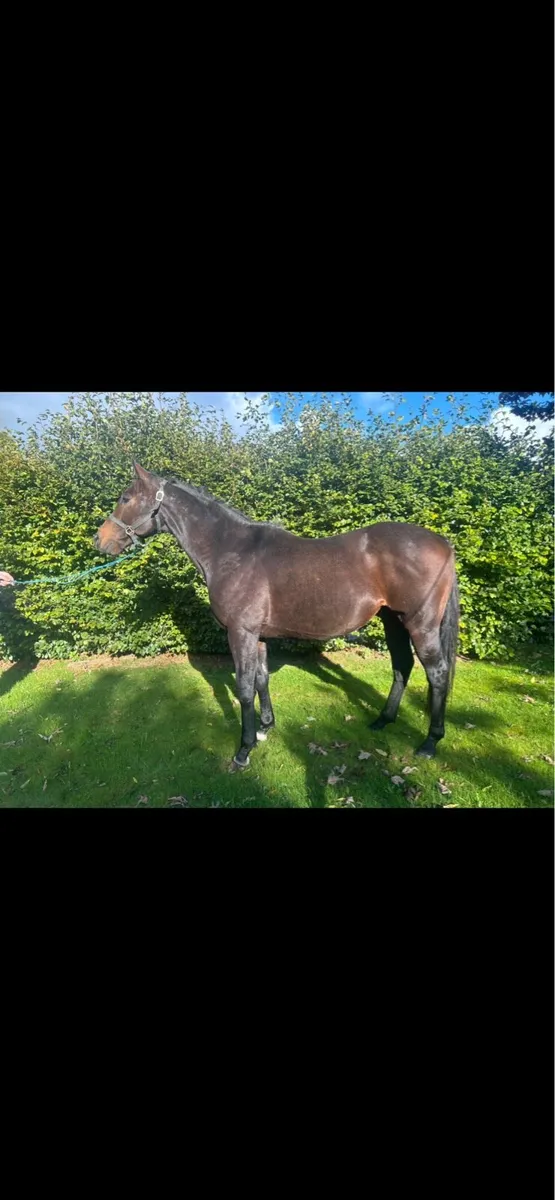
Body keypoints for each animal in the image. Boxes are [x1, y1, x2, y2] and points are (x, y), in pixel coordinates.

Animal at [94, 462, 460, 768]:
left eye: (126, 498)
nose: (100, 540)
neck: (230, 550)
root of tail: (443, 543)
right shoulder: (257, 635)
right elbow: (261, 680)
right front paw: (265, 729)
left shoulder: (240, 633)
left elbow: (244, 688)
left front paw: (243, 751)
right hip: (392, 620)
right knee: (402, 666)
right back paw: (383, 720)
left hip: (420, 624)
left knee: (437, 673)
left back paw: (430, 743)